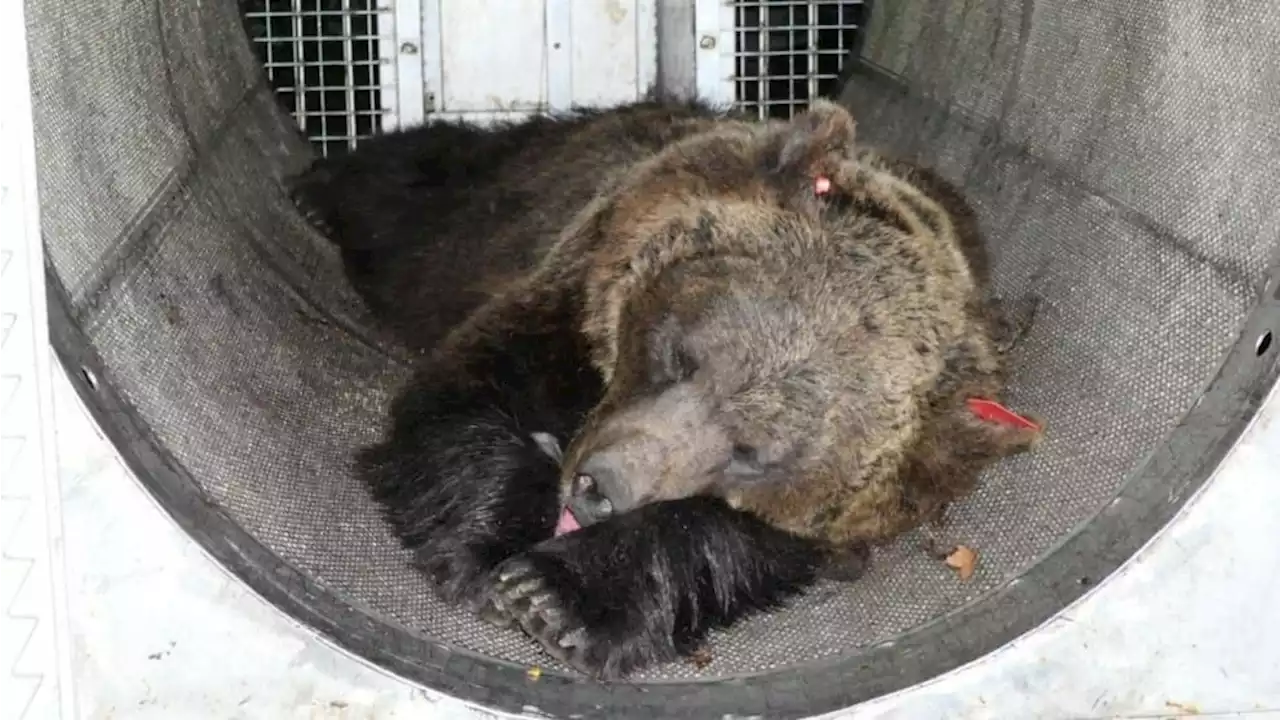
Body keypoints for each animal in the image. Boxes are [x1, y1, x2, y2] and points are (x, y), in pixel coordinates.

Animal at [288, 96, 1039, 676]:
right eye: (682, 355)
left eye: (751, 452)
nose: (600, 488)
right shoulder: (564, 297)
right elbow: (467, 396)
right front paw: (486, 549)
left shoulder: (879, 491)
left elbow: (733, 540)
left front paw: (554, 596)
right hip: (491, 205)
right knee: (420, 195)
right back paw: (319, 190)